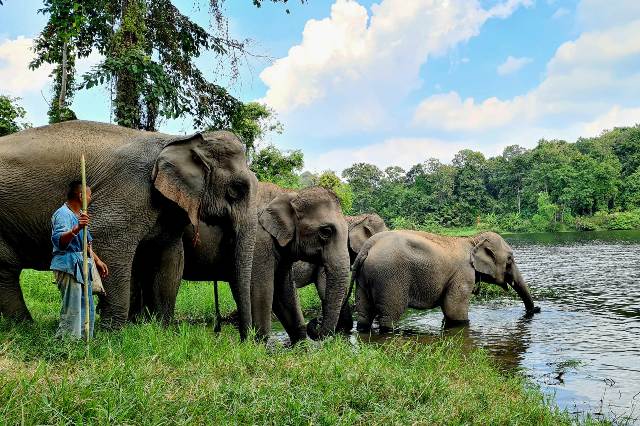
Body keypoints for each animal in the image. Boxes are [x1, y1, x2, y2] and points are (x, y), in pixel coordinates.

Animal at [0, 121, 257, 338]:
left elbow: (170, 260)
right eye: (236, 189)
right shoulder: (129, 190)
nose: (246, 340)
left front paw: (161, 332)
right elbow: (108, 243)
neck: (177, 139)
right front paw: (113, 336)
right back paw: (28, 328)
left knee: (5, 270)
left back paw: (23, 327)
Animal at [164, 183, 351, 343]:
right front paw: (259, 346)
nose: (317, 320)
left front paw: (301, 346)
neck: (288, 193)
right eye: (326, 231)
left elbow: (284, 291)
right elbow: (262, 289)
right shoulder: (258, 242)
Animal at [352, 230, 540, 332]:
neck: (473, 240)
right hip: (389, 278)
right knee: (389, 315)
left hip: (364, 278)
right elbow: (454, 310)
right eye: (510, 259)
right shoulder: (463, 274)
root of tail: (368, 246)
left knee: (364, 313)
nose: (536, 310)